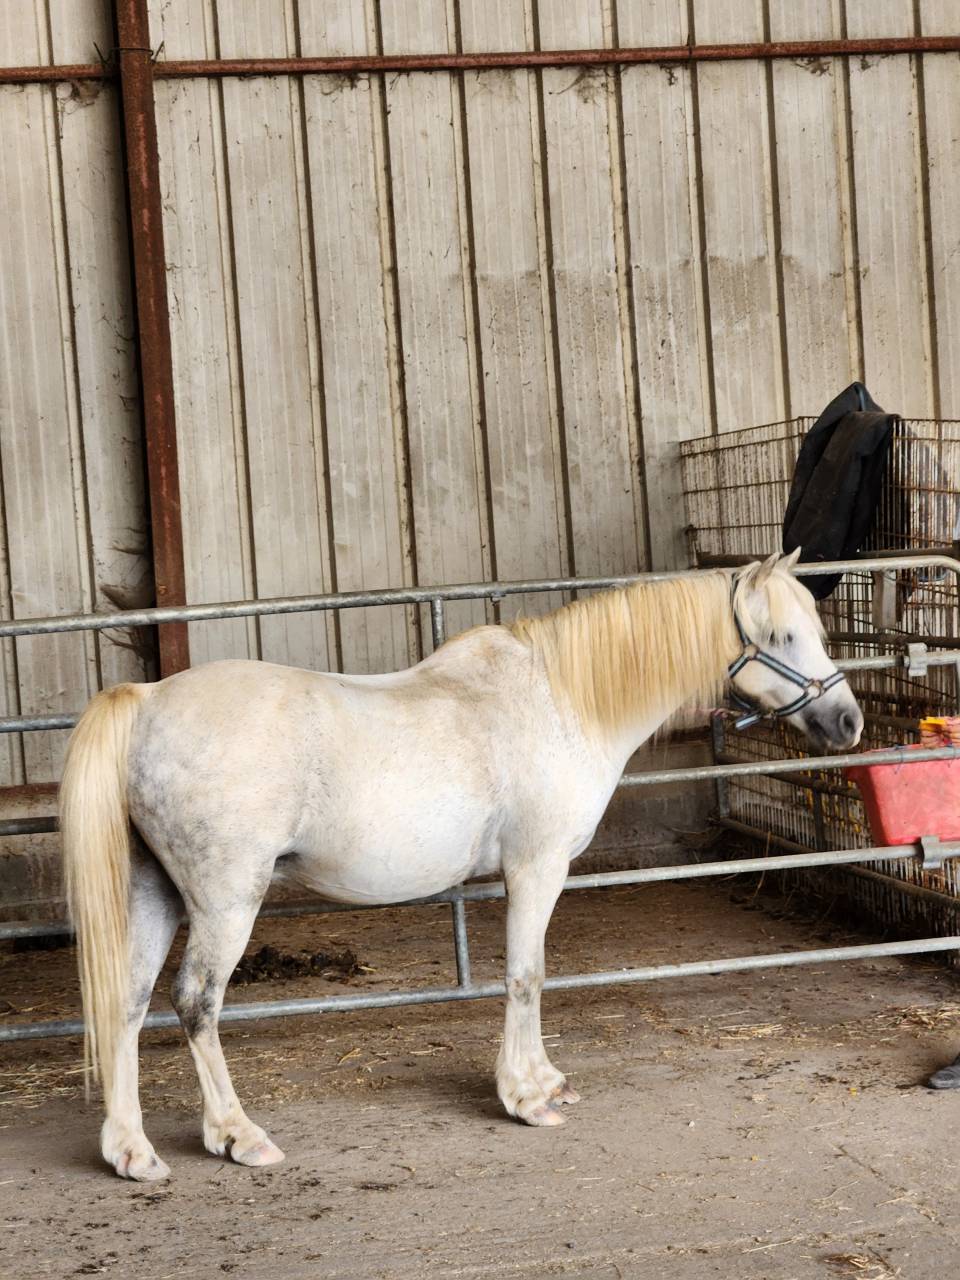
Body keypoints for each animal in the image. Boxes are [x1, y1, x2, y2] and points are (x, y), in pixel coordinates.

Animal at [60, 550, 863, 1181]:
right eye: (782, 635)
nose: (848, 722)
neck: (562, 700)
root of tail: (148, 701)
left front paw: (544, 1083)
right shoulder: (537, 868)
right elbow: (526, 974)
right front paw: (528, 1097)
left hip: (157, 894)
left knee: (128, 1002)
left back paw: (131, 1151)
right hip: (227, 900)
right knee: (196, 1001)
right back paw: (238, 1135)